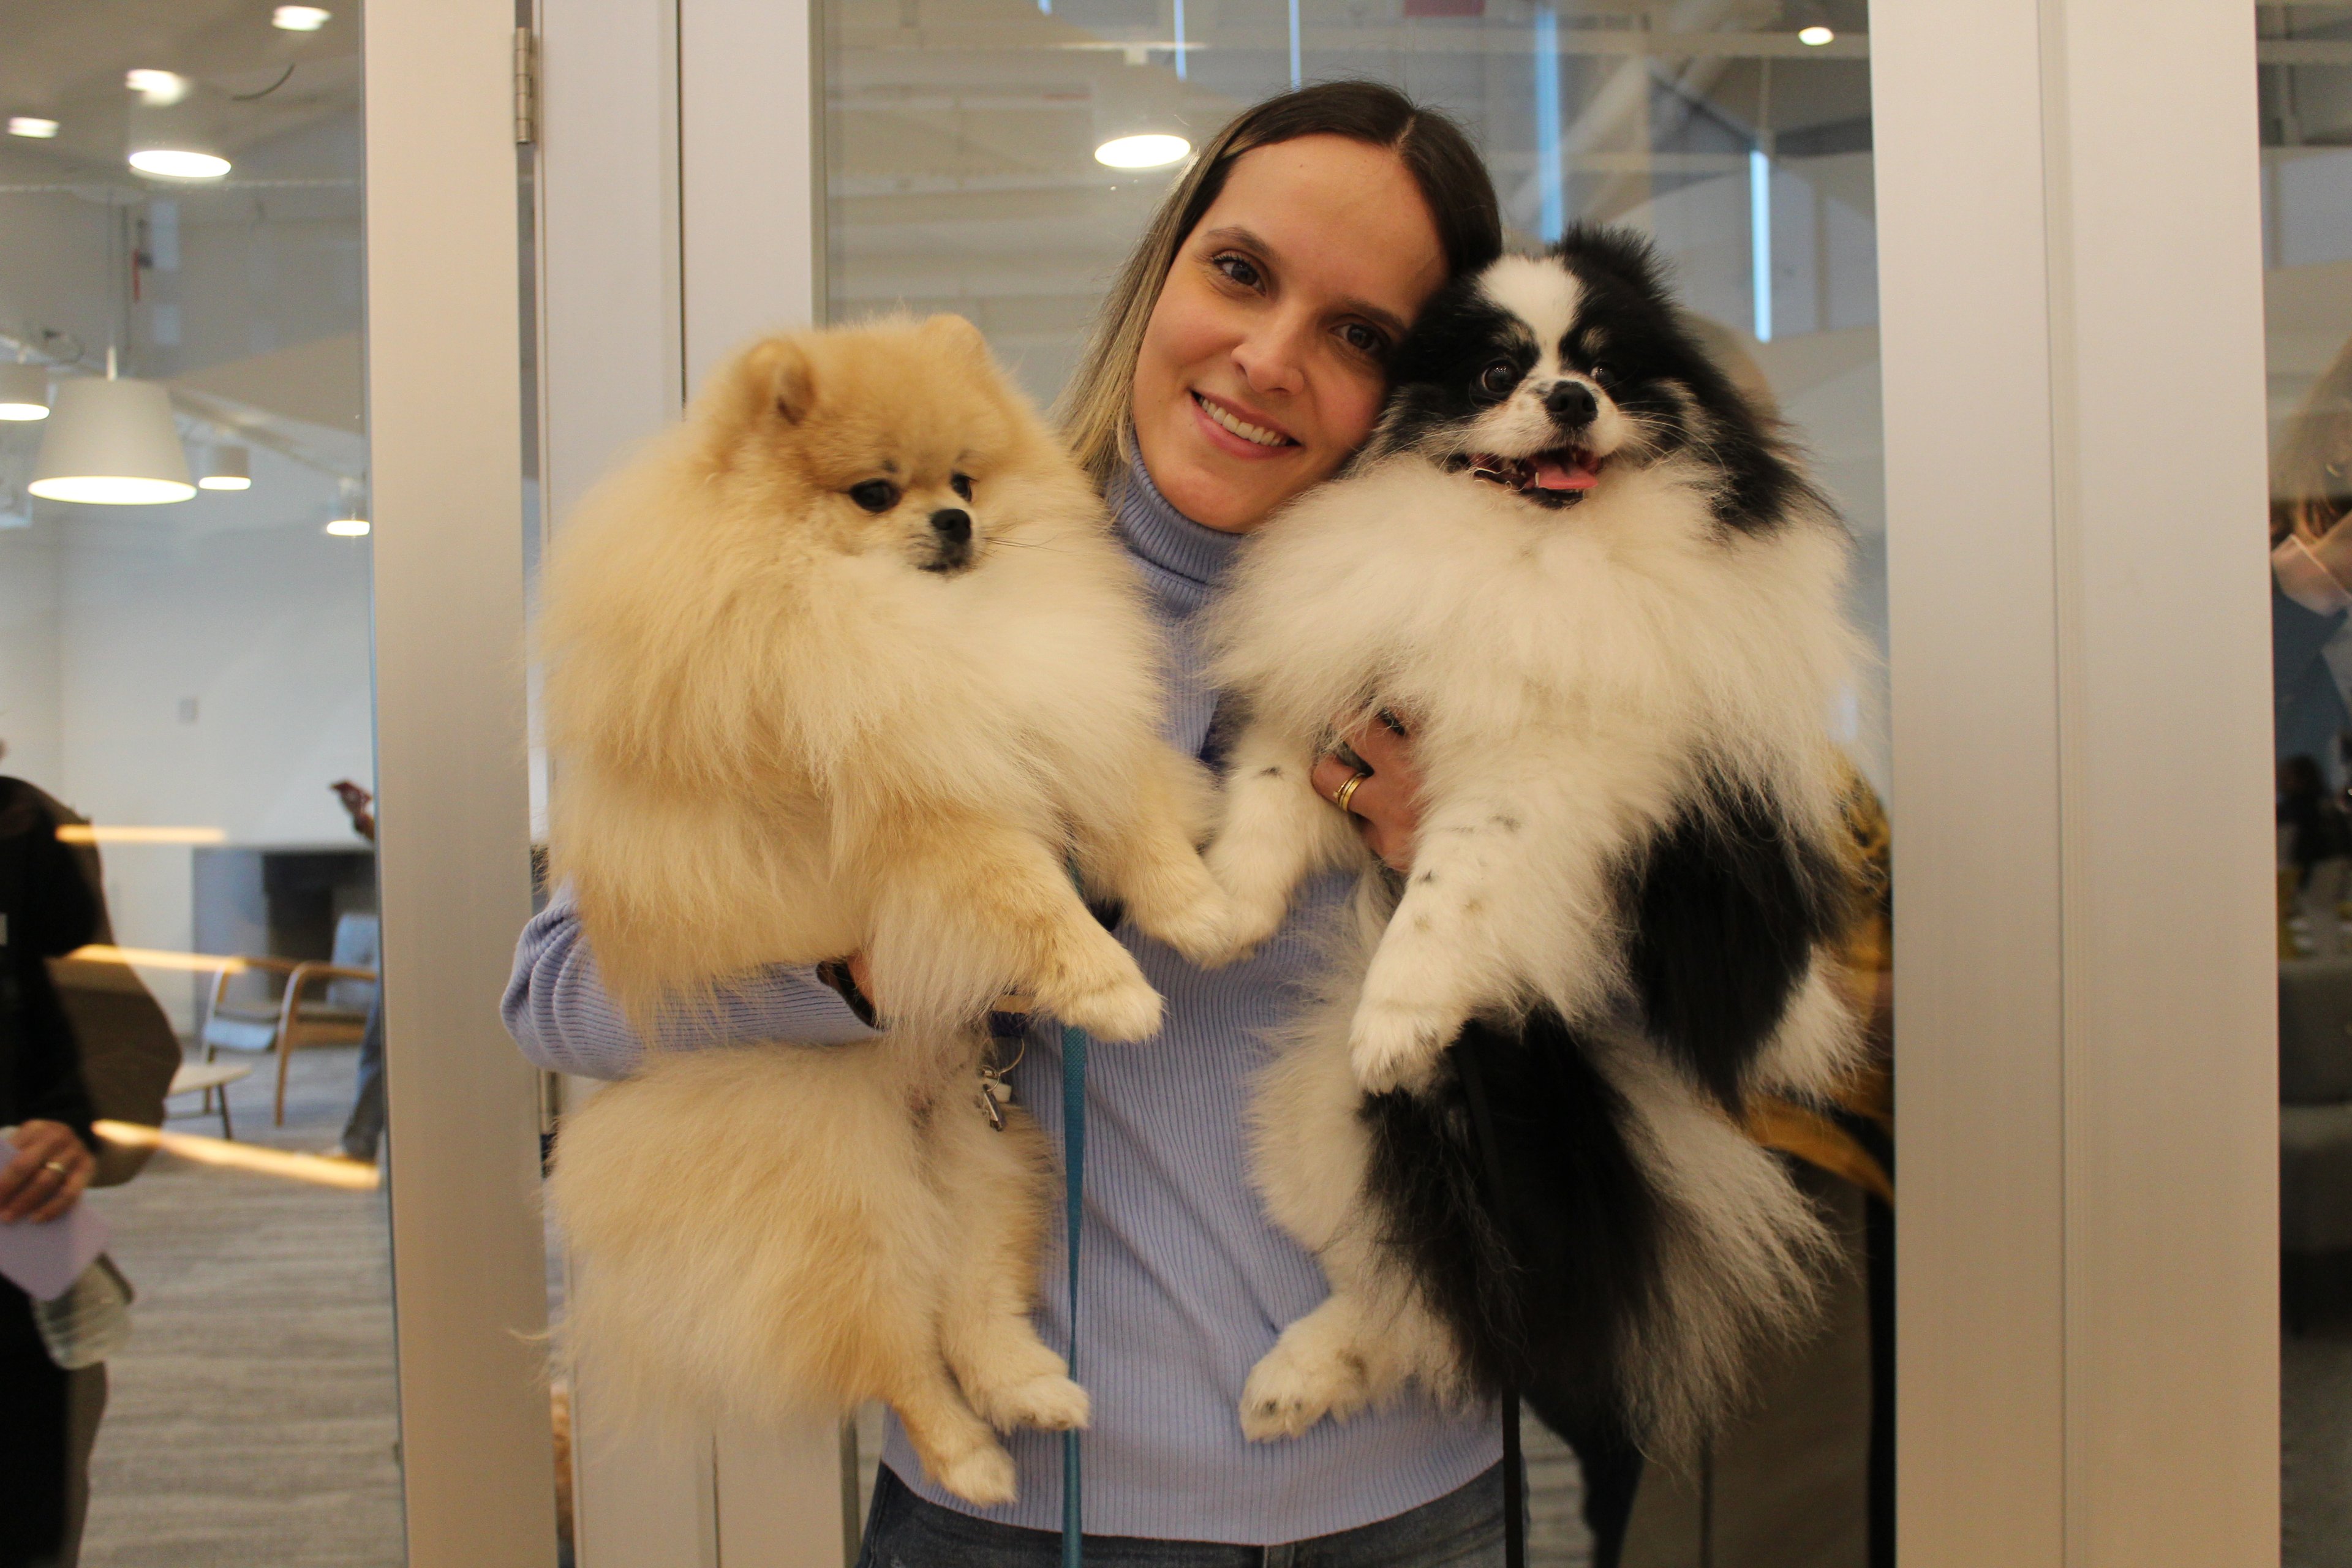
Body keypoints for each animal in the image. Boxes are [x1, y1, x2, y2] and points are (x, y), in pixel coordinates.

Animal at [1204, 227, 1863, 1466]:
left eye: (1602, 367)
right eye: (1496, 373)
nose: (1568, 399)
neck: (1521, 554)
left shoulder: (1548, 768)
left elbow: (1449, 886)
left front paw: (1397, 1017)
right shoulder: (1352, 686)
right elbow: (1265, 789)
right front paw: (1219, 908)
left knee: (1438, 1299)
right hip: (1312, 1123)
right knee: (1400, 1277)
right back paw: (1297, 1378)